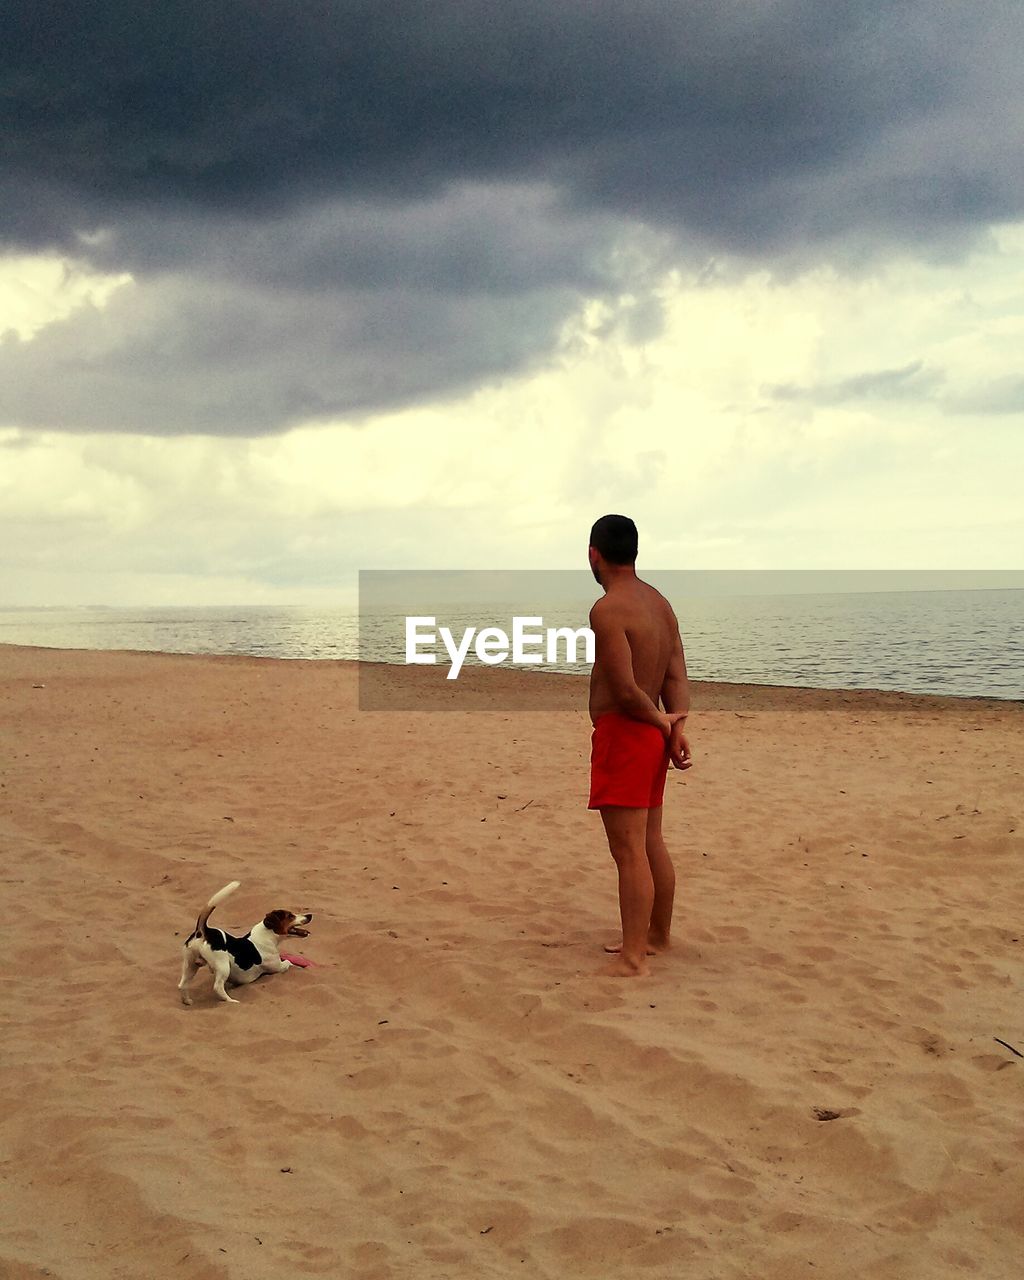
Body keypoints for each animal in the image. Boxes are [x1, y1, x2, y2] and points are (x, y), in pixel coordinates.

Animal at [177, 885, 312, 1003]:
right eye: (290, 916)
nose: (310, 915)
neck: (267, 935)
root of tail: (203, 931)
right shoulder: (278, 967)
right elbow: (289, 962)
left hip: (190, 964)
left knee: (182, 985)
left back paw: (187, 1001)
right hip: (223, 966)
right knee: (217, 987)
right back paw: (231, 1001)